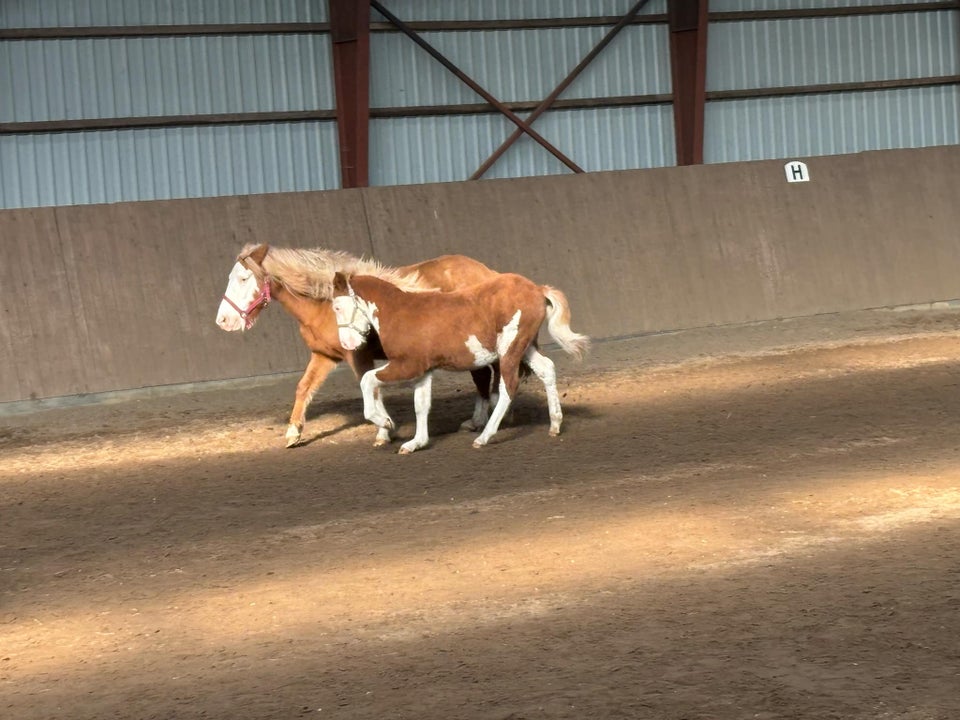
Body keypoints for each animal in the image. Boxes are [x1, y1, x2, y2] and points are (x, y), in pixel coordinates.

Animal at [216, 243, 502, 444]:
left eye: (243, 279)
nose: (223, 320)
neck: (324, 303)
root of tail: (489, 273)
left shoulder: (357, 354)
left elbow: (370, 385)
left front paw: (384, 429)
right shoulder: (324, 355)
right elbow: (304, 387)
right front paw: (293, 432)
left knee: (485, 375)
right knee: (484, 375)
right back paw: (479, 420)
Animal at [332, 268, 584, 452]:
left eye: (337, 307)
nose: (347, 344)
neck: (397, 313)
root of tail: (537, 289)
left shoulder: (407, 365)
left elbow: (366, 379)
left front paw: (385, 422)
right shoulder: (424, 371)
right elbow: (421, 405)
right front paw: (415, 443)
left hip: (510, 349)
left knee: (508, 386)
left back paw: (484, 436)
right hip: (525, 346)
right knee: (546, 369)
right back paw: (555, 425)